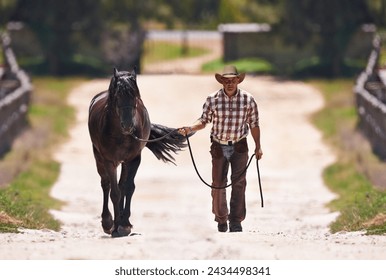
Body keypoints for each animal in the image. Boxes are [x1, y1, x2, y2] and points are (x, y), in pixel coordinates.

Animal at [88, 67, 185, 236]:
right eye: (117, 96)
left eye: (135, 96)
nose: (128, 125)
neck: (121, 134)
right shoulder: (109, 161)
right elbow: (114, 192)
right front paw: (115, 227)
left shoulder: (133, 159)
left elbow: (128, 188)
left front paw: (125, 224)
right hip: (99, 158)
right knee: (106, 184)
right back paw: (108, 223)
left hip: (124, 162)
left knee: (121, 185)